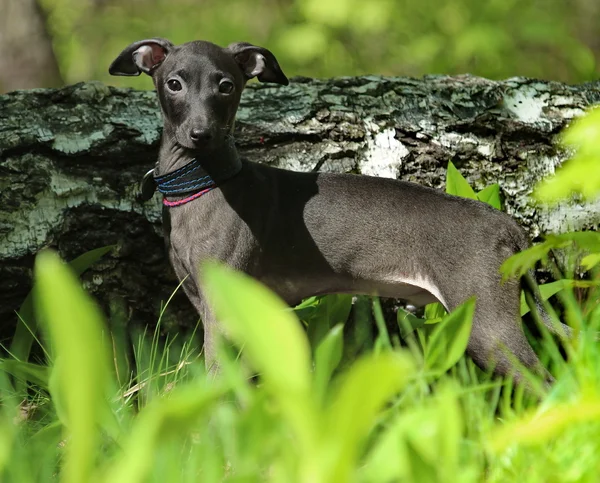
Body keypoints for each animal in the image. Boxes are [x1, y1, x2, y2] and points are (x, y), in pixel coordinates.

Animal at [110, 38, 568, 382]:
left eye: (226, 86)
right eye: (173, 83)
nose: (200, 133)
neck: (206, 182)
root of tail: (506, 224)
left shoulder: (224, 310)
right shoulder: (210, 302)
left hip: (487, 324)